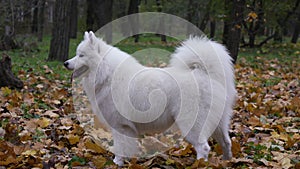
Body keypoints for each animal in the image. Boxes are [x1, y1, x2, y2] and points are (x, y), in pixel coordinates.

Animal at [63, 31, 237, 166]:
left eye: (81, 55)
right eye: (76, 54)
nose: (65, 63)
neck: (107, 75)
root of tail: (204, 73)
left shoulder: (120, 126)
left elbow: (120, 146)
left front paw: (117, 162)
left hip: (192, 123)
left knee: (203, 147)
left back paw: (200, 163)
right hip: (219, 122)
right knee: (226, 142)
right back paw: (227, 161)